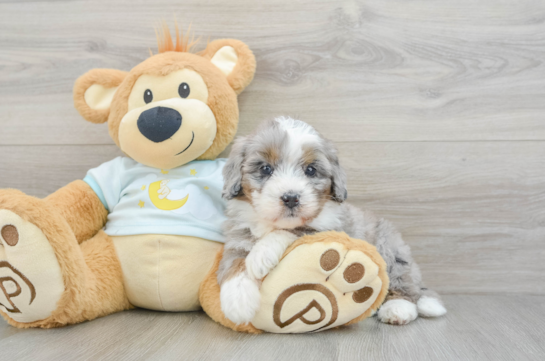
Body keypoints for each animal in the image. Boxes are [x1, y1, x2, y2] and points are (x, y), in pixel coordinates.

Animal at [217, 116, 446, 324]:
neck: (271, 223)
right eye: (265, 168)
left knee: (404, 285)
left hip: (391, 251)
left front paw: (261, 255)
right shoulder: (240, 235)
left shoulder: (329, 230)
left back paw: (398, 309)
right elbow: (235, 261)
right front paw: (237, 300)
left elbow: (294, 230)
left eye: (310, 170)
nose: (291, 197)